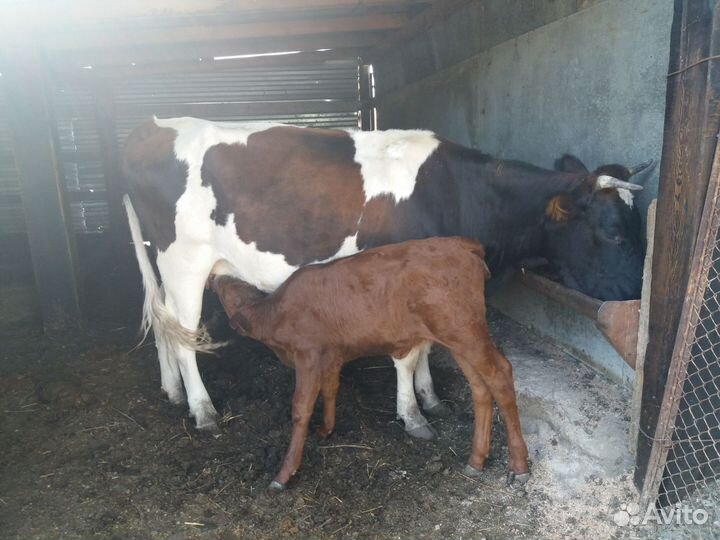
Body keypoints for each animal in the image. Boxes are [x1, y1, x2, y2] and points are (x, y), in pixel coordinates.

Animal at [122, 116, 645, 435]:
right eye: (614, 232)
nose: (640, 293)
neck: (457, 192)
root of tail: (154, 126)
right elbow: (408, 353)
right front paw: (413, 415)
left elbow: (427, 346)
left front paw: (430, 398)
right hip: (184, 262)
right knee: (185, 335)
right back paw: (202, 409)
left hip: (166, 267)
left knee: (165, 328)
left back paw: (173, 392)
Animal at [208, 237, 529, 490]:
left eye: (227, 292)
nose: (214, 278)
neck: (277, 313)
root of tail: (462, 244)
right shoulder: (332, 356)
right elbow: (331, 388)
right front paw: (326, 430)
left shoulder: (308, 355)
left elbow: (301, 408)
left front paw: (284, 473)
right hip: (458, 336)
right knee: (480, 387)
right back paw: (476, 459)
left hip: (466, 332)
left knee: (500, 374)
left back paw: (519, 465)